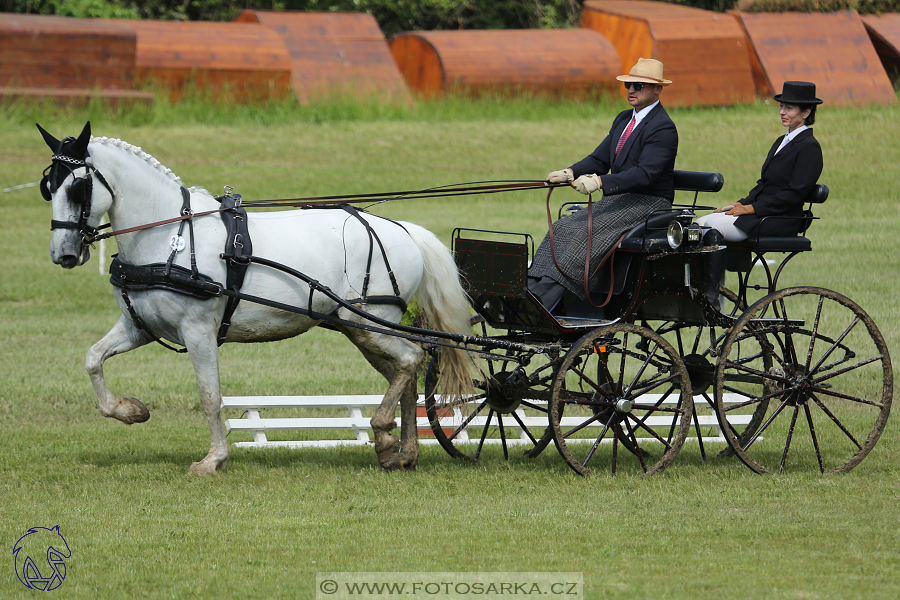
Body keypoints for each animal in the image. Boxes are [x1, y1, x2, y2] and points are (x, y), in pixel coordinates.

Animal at [38, 119, 474, 472]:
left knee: (412, 359)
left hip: (368, 322)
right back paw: (402, 453)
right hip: (361, 328)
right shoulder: (139, 326)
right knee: (406, 371)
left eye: (78, 188)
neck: (170, 237)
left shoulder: (198, 330)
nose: (63, 254)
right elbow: (93, 358)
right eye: (48, 188)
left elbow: (210, 395)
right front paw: (129, 411)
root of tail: (401, 228)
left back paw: (383, 433)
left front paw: (213, 460)